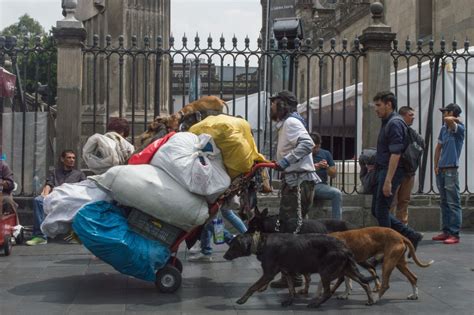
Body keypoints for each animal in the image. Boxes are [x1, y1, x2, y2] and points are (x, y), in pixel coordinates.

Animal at [222, 232, 374, 308]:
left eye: (233, 246)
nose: (224, 256)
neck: (261, 243)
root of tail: (345, 247)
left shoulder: (269, 274)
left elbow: (252, 287)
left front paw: (242, 300)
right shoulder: (287, 272)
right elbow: (291, 289)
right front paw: (289, 301)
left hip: (326, 272)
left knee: (328, 292)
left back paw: (316, 304)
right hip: (347, 270)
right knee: (365, 283)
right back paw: (371, 300)